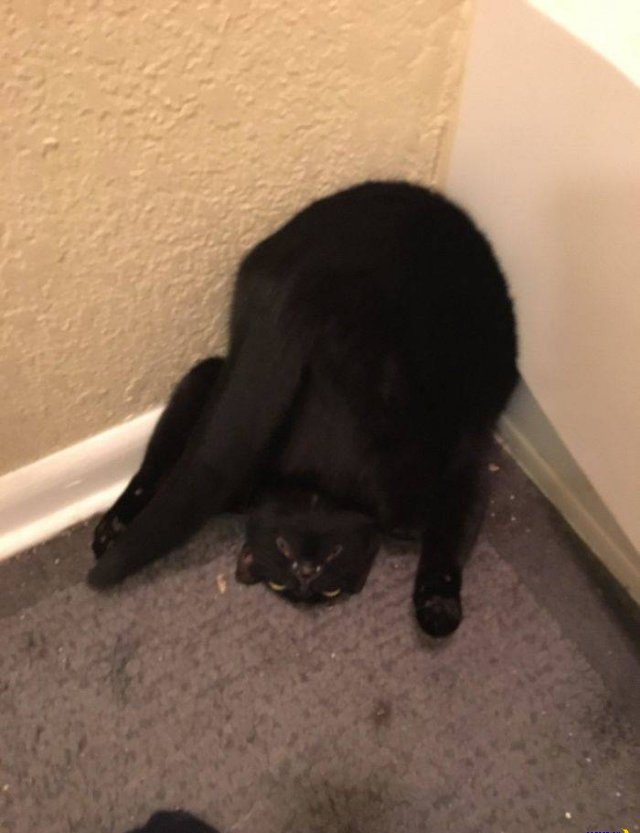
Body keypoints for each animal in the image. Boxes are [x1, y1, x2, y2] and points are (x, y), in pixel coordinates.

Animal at [88, 181, 518, 637]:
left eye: (331, 566)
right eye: (281, 558)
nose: (305, 575)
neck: (317, 481)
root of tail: (303, 286)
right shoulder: (454, 460)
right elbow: (453, 530)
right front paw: (439, 604)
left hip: (218, 372)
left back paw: (114, 528)